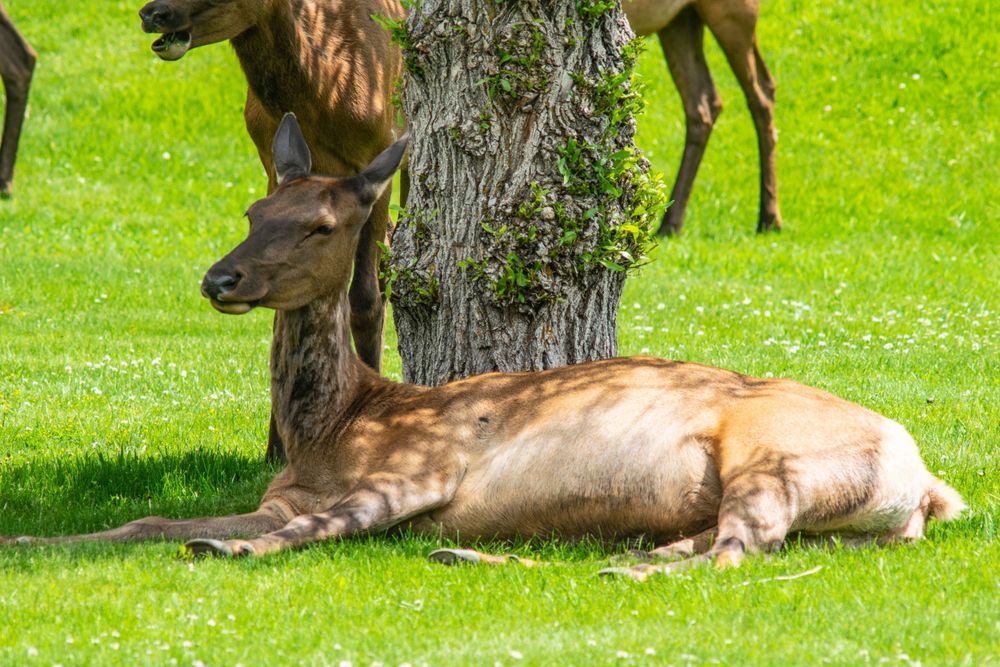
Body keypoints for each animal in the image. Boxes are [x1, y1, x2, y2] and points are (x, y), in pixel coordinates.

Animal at [2, 115, 964, 580]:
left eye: (319, 224)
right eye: (252, 207)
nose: (220, 278)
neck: (337, 427)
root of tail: (932, 485)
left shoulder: (422, 466)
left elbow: (322, 525)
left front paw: (225, 549)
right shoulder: (279, 493)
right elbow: (146, 519)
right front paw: (29, 540)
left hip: (777, 457)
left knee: (733, 551)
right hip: (840, 528)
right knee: (701, 546)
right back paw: (487, 556)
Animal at [137, 0, 406, 463]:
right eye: (251, 215)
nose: (152, 13)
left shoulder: (379, 148)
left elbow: (366, 299)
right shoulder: (270, 158)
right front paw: (276, 447)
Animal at [625, 0, 781, 235]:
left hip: (732, 12)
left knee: (761, 92)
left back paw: (769, 219)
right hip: (680, 19)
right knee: (705, 101)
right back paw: (671, 223)